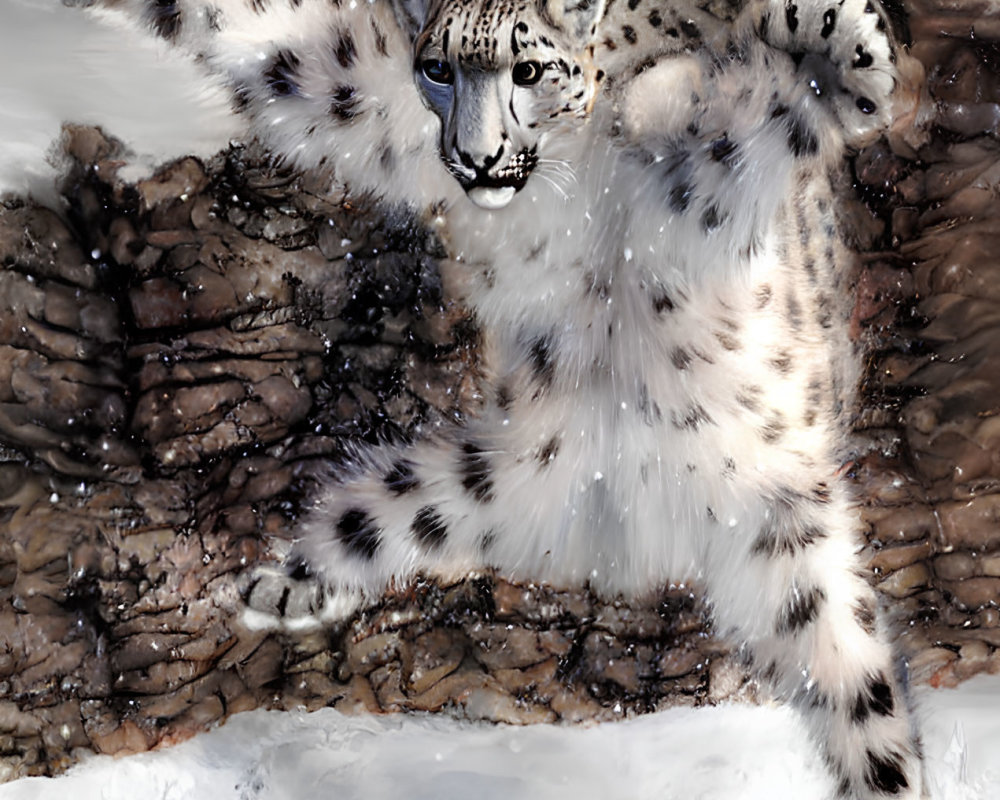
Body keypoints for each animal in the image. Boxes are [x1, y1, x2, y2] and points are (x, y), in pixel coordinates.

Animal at [101, 0, 920, 792]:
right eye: (441, 69)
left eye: (528, 67)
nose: (480, 153)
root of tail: (627, 536)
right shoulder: (377, 98)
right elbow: (285, 38)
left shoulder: (719, 174)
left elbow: (800, 106)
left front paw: (836, 38)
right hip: (474, 478)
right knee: (373, 514)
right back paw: (289, 586)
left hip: (789, 540)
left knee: (860, 701)